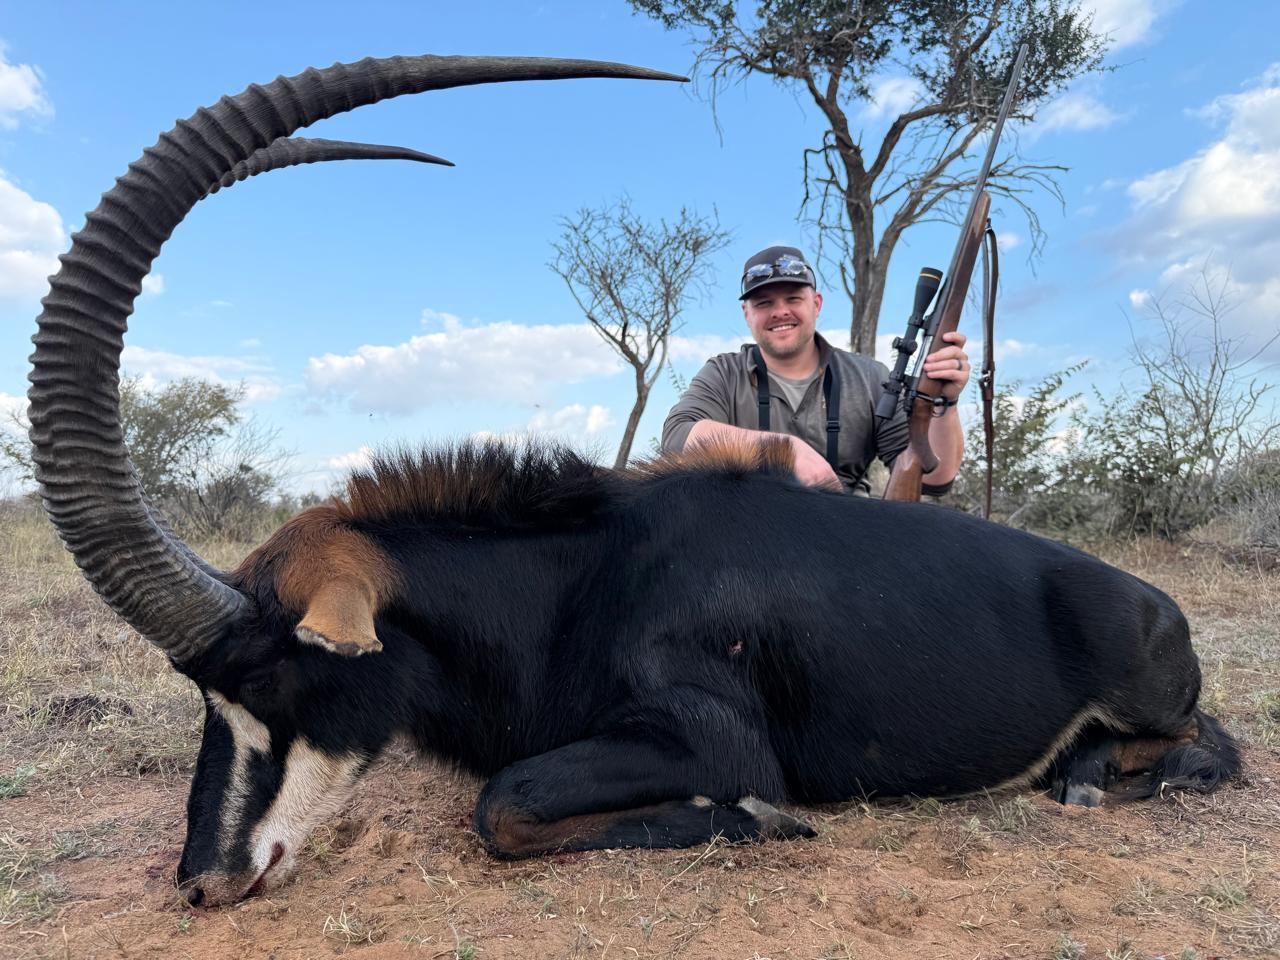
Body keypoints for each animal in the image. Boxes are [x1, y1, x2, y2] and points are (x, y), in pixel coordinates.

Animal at [27, 54, 1239, 909]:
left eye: (276, 680)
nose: (202, 882)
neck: (574, 579)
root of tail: (1148, 600)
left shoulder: (709, 735)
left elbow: (503, 805)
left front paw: (758, 819)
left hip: (1153, 695)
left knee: (1211, 743)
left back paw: (1090, 773)